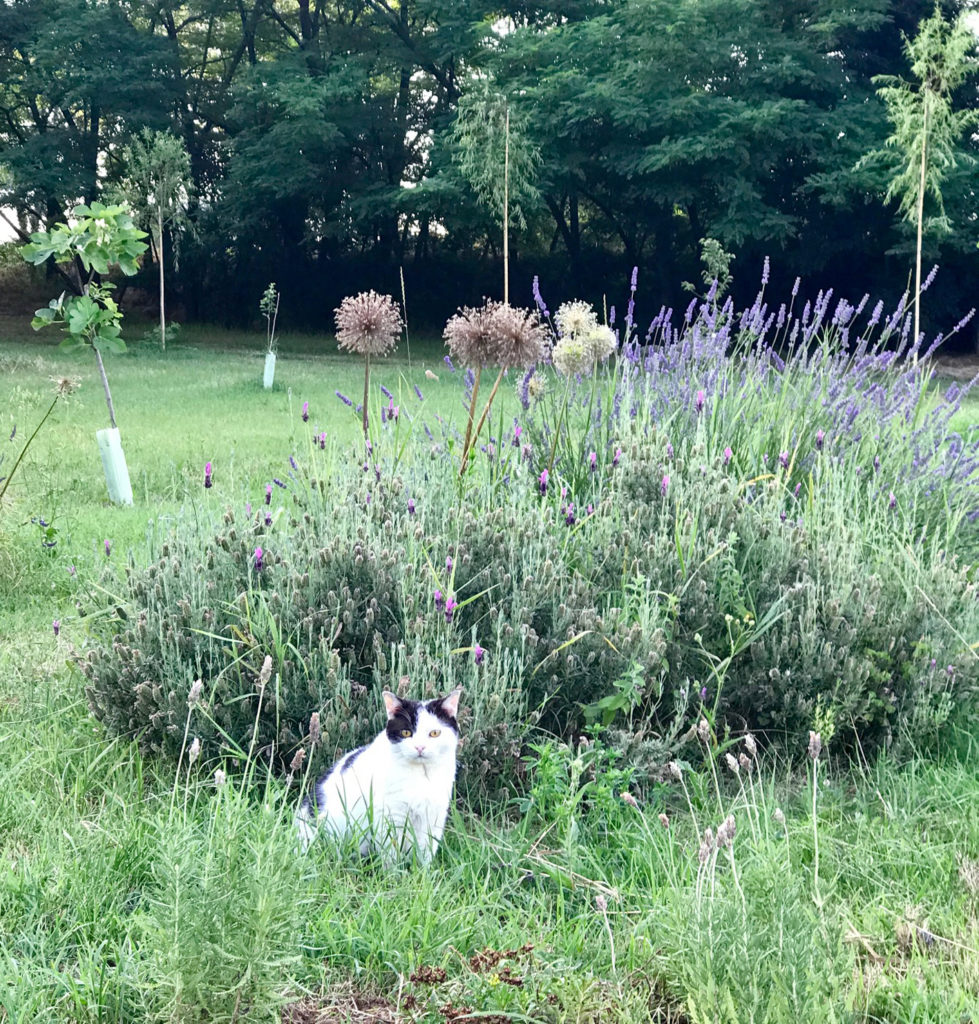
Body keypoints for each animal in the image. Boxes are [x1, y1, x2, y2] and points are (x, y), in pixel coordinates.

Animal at [294, 688, 462, 864]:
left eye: (435, 733)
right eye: (406, 732)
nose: (420, 747)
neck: (421, 775)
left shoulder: (433, 818)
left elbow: (426, 853)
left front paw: (423, 871)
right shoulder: (390, 816)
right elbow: (391, 854)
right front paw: (395, 871)